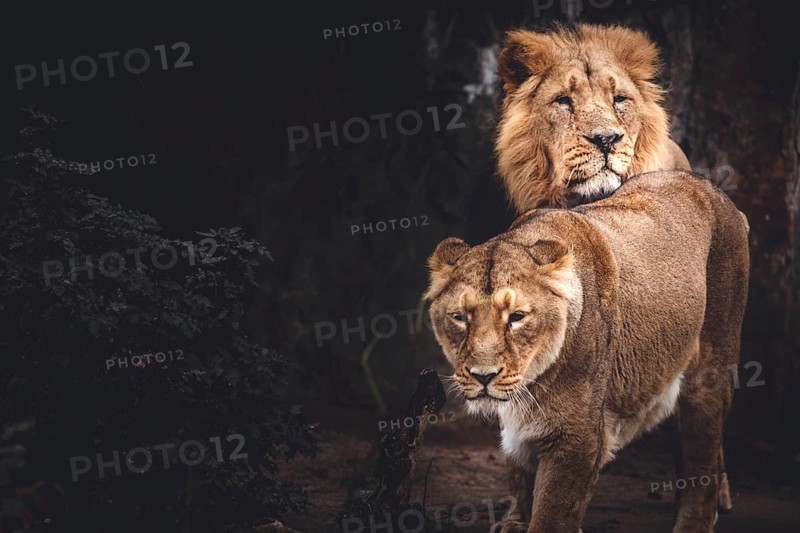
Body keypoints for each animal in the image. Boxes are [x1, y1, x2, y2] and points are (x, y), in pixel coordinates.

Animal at [426, 171, 749, 532]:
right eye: (460, 317)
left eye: (517, 317)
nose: (483, 376)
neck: (531, 382)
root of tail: (711, 188)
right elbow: (519, 472)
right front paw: (514, 521)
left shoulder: (578, 437)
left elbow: (552, 512)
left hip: (710, 371)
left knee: (703, 459)